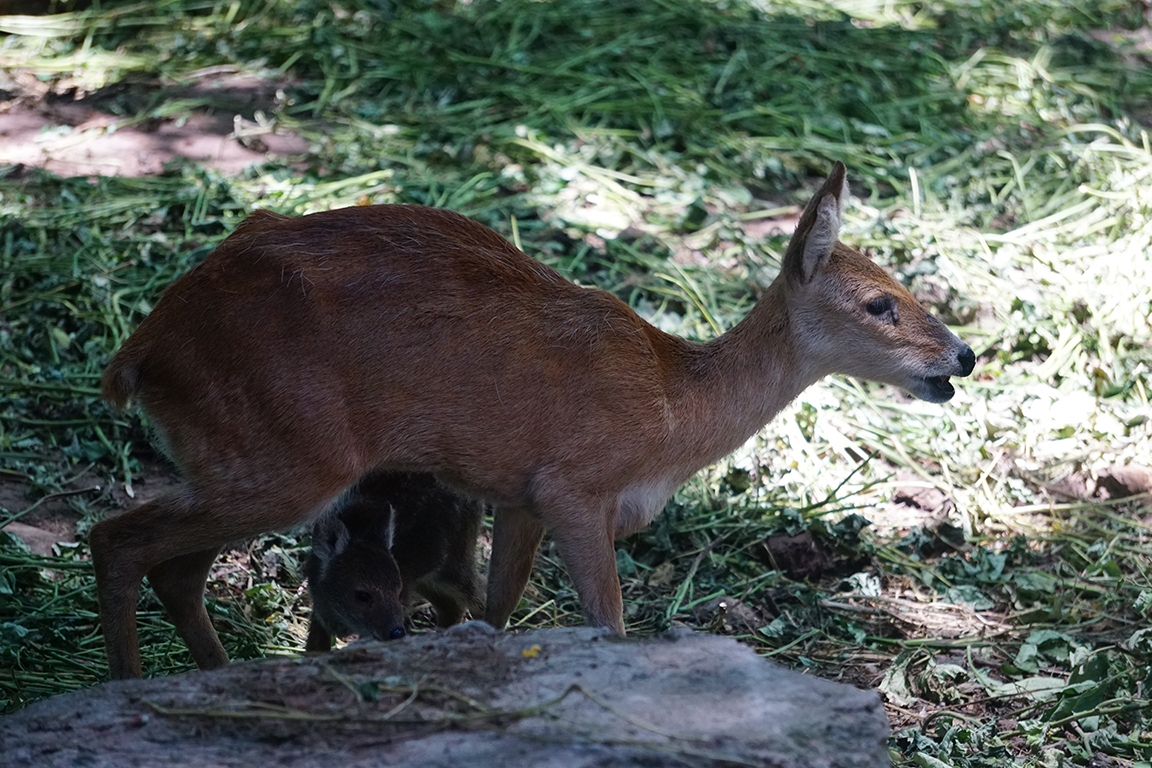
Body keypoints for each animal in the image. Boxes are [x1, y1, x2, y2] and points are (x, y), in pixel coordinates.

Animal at [305, 470, 485, 652]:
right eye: (362, 595)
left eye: (398, 591)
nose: (397, 632)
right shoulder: (319, 613)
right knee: (452, 607)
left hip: (457, 559)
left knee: (480, 594)